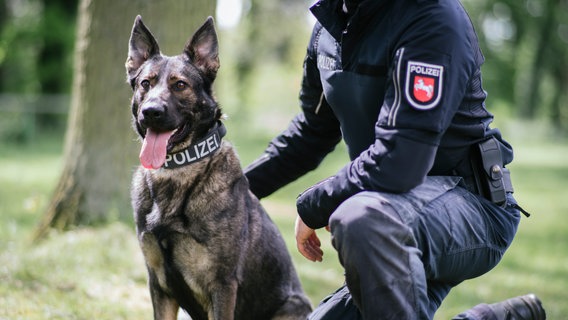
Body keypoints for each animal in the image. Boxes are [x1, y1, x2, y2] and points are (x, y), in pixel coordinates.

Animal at [125, 15, 310, 320]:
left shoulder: (222, 286)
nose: (150, 112)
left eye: (180, 85)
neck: (177, 172)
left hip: (290, 307)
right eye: (145, 84)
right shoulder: (159, 286)